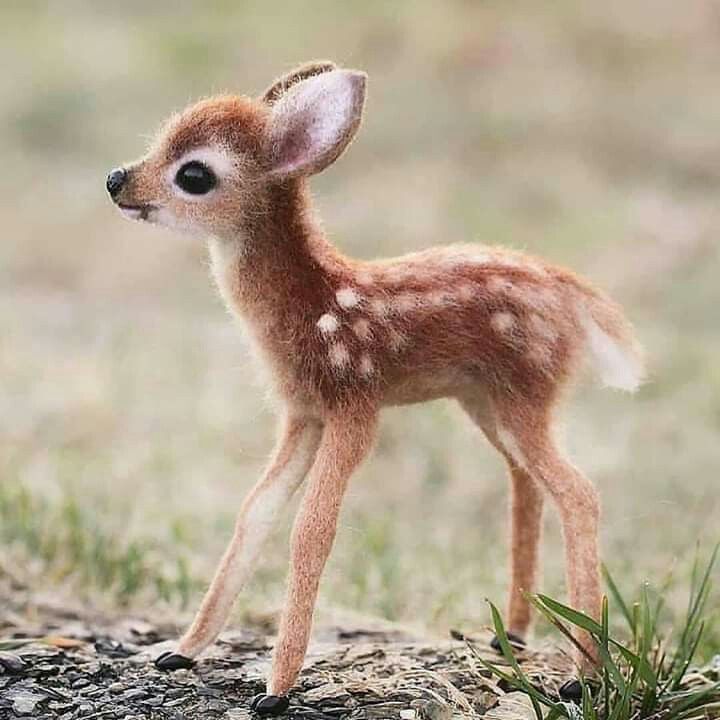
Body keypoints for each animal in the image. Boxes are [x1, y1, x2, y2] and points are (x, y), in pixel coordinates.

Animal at [108, 60, 648, 708]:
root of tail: (580, 300)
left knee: (579, 492)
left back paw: (581, 675)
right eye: (163, 137)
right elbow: (255, 512)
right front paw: (180, 651)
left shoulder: (355, 404)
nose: (115, 179)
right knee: (527, 482)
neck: (314, 306)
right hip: (486, 400)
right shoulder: (303, 412)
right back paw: (510, 635)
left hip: (524, 392)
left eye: (194, 173)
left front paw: (276, 689)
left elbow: (312, 530)